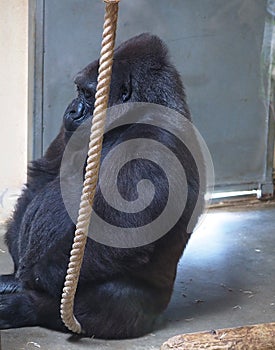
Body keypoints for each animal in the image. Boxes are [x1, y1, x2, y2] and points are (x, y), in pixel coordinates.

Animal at [0, 32, 205, 340]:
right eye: (79, 91)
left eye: (88, 95)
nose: (71, 110)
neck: (139, 112)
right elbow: (43, 175)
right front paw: (16, 271)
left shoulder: (160, 141)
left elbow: (124, 230)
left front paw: (31, 279)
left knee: (111, 297)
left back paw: (24, 306)